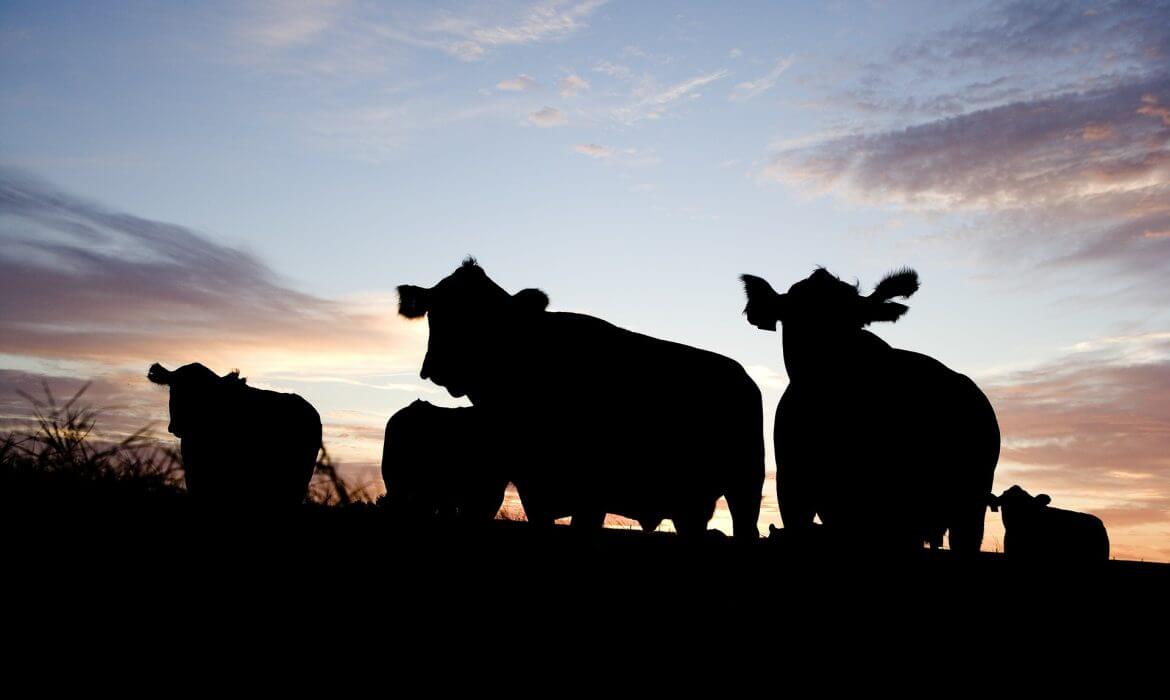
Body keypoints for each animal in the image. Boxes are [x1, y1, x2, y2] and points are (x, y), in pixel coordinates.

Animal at [397, 257, 762, 538]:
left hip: (745, 486)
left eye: (488, 317)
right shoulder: (531, 487)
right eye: (435, 311)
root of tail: (743, 377)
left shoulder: (591, 494)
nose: (439, 364)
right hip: (692, 503)